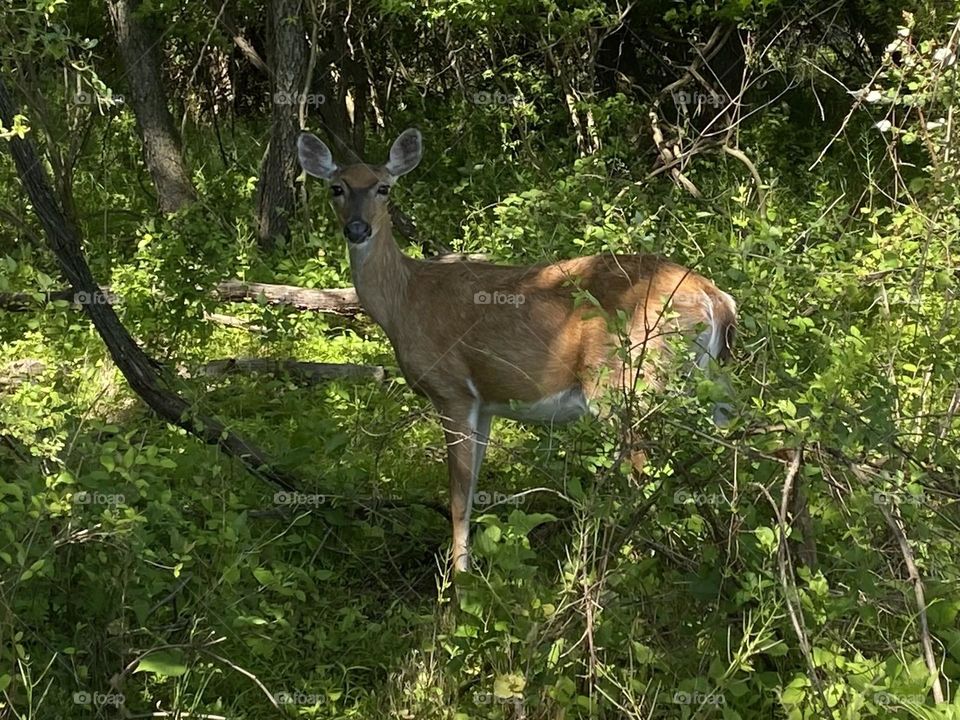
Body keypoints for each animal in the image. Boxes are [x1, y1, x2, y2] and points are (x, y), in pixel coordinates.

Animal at [297, 128, 737, 573]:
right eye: (336, 188)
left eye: (384, 188)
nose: (357, 229)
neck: (404, 300)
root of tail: (714, 297)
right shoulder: (487, 402)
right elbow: (473, 485)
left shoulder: (452, 389)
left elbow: (457, 494)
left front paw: (459, 577)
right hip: (707, 379)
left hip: (626, 382)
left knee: (645, 468)